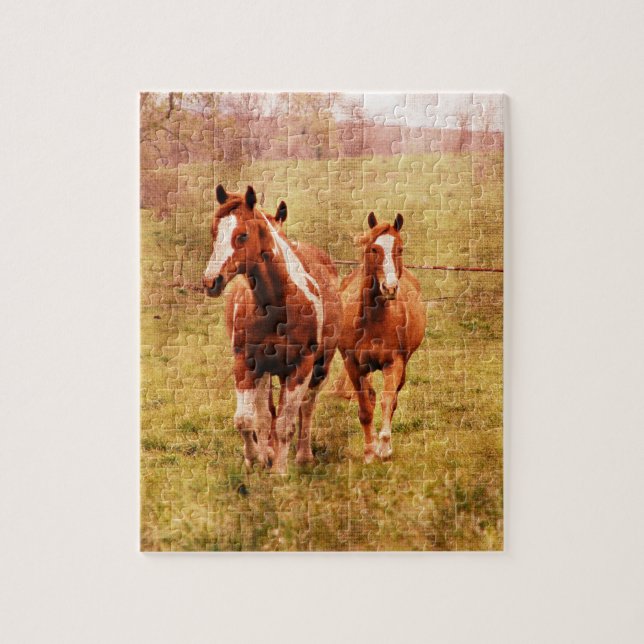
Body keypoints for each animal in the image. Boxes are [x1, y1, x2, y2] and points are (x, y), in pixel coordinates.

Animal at [202, 185, 341, 474]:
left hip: (320, 367)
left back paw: (303, 455)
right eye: (214, 232)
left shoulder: (302, 367)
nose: (211, 281)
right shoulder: (247, 362)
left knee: (306, 407)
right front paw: (256, 457)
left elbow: (286, 424)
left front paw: (279, 471)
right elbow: (248, 419)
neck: (278, 303)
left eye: (242, 235)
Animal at [337, 212, 426, 463]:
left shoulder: (393, 363)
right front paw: (369, 452)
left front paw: (384, 447)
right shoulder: (353, 364)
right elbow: (365, 408)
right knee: (370, 396)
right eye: (373, 249)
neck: (373, 319)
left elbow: (388, 401)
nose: (390, 288)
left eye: (400, 248)